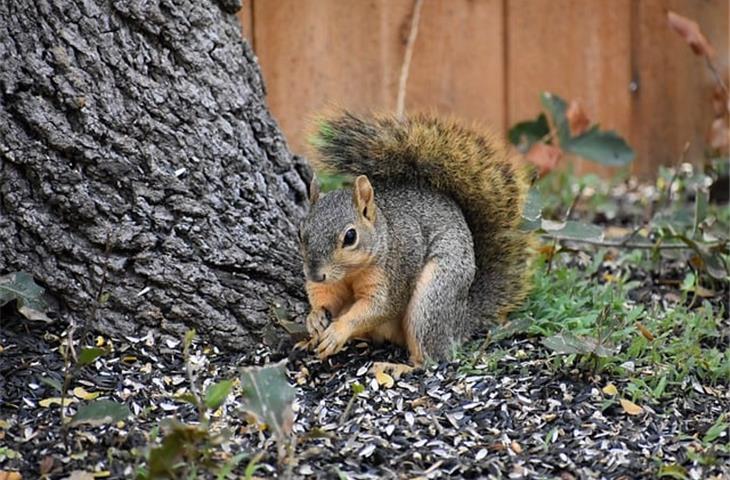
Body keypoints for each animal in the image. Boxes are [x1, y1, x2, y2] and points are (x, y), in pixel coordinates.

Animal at [298, 112, 536, 366]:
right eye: (301, 232)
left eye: (350, 236)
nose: (315, 275)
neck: (350, 272)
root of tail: (459, 322)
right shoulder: (330, 283)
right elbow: (325, 298)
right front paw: (314, 318)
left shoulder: (393, 273)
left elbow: (379, 307)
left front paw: (337, 331)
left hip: (433, 296)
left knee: (432, 356)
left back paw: (400, 367)